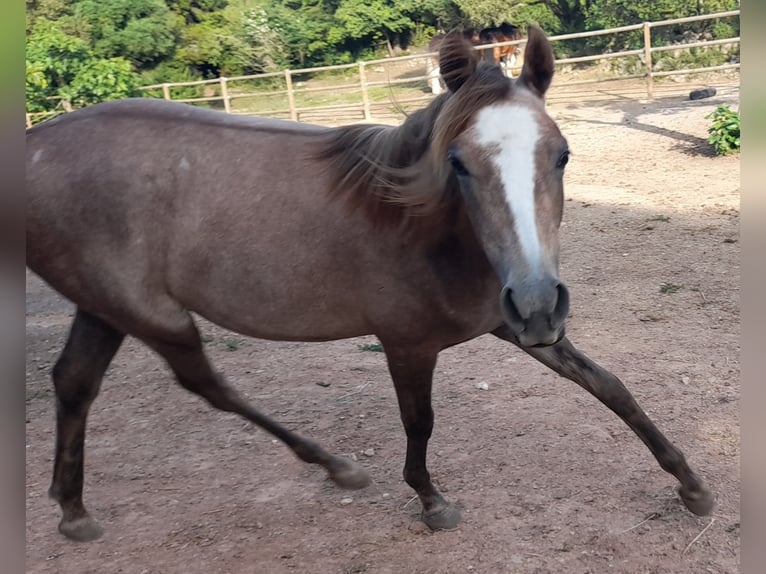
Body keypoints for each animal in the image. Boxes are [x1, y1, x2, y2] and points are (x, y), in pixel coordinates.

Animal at [26, 27, 714, 542]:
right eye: (459, 163)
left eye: (562, 154)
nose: (540, 302)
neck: (422, 228)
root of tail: (30, 146)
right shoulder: (407, 344)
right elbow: (420, 422)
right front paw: (432, 502)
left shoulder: (508, 323)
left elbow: (610, 387)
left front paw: (693, 486)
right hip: (151, 314)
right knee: (204, 383)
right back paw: (338, 468)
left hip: (104, 309)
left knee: (75, 382)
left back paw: (73, 512)